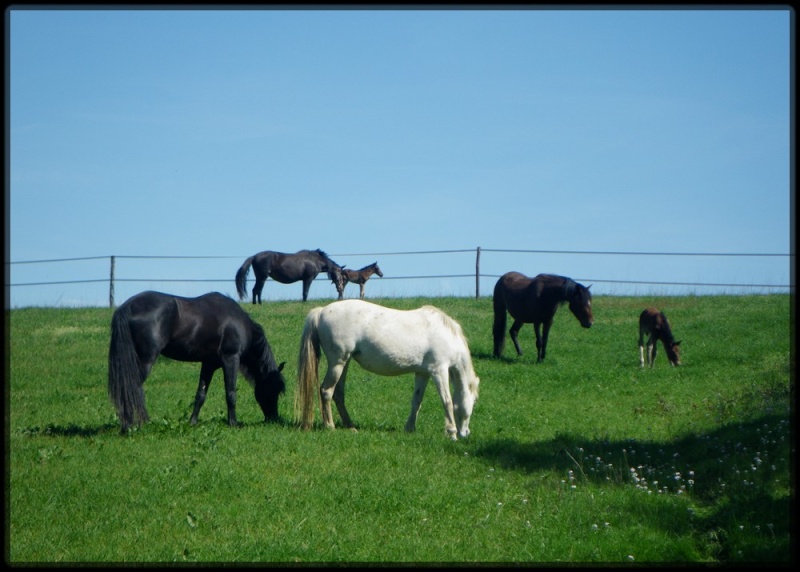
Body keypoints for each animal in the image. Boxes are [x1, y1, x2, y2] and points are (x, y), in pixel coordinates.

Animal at [108, 292, 286, 432]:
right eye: (273, 389)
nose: (274, 419)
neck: (238, 322)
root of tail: (126, 307)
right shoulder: (231, 359)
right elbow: (231, 393)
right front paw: (233, 423)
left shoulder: (209, 364)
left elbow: (200, 394)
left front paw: (192, 422)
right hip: (145, 361)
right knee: (130, 388)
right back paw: (129, 425)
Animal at [296, 300, 478, 442]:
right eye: (473, 402)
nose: (466, 434)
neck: (447, 335)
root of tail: (321, 311)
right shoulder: (438, 371)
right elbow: (447, 401)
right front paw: (451, 433)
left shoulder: (423, 373)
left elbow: (417, 401)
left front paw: (410, 428)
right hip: (337, 363)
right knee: (326, 391)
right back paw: (330, 426)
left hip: (344, 363)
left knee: (338, 394)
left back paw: (351, 426)